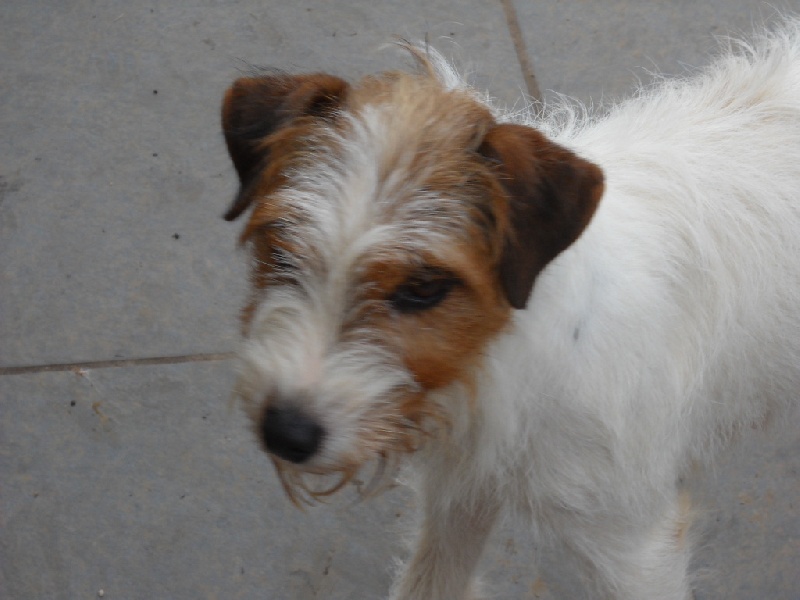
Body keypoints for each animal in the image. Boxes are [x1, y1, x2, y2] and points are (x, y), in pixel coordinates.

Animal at [220, 18, 800, 600]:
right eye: (282, 252)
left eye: (423, 288)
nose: (285, 433)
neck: (501, 358)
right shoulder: (462, 492)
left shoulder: (632, 548)